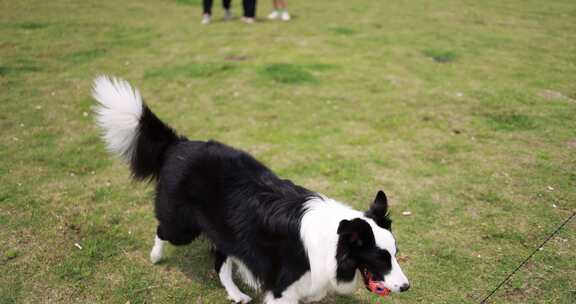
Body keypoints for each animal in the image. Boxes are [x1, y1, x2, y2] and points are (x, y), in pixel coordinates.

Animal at [91, 76, 410, 302]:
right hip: (183, 226)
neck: (334, 242)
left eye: (395, 254)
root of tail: (179, 144)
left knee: (220, 263)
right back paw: (156, 256)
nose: (406, 287)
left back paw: (236, 293)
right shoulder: (283, 289)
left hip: (225, 229)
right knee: (163, 230)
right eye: (380, 258)